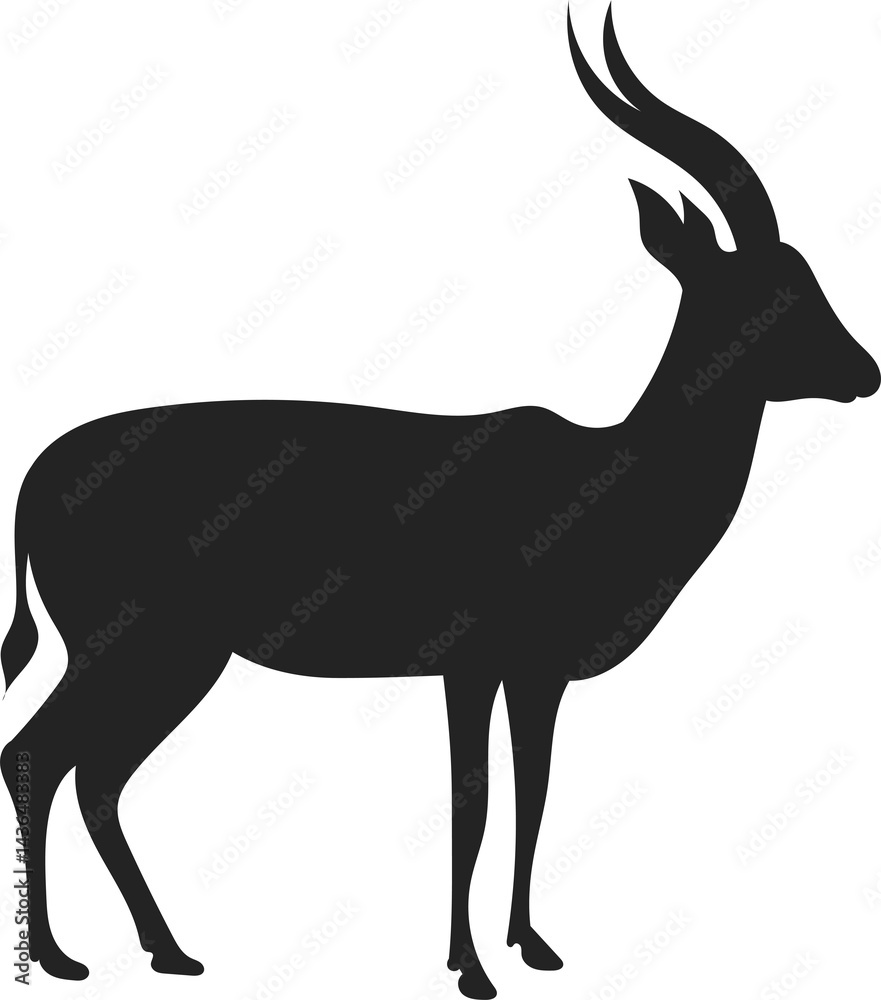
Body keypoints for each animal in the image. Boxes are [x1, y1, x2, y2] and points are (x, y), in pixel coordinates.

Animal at [2, 5, 878, 999]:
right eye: (767, 290)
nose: (865, 372)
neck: (608, 474)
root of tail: (35, 473)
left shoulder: (536, 673)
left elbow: (534, 791)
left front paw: (532, 946)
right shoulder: (471, 662)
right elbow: (475, 800)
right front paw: (470, 969)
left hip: (158, 656)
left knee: (88, 771)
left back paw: (160, 951)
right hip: (145, 647)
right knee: (45, 754)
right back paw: (66, 956)